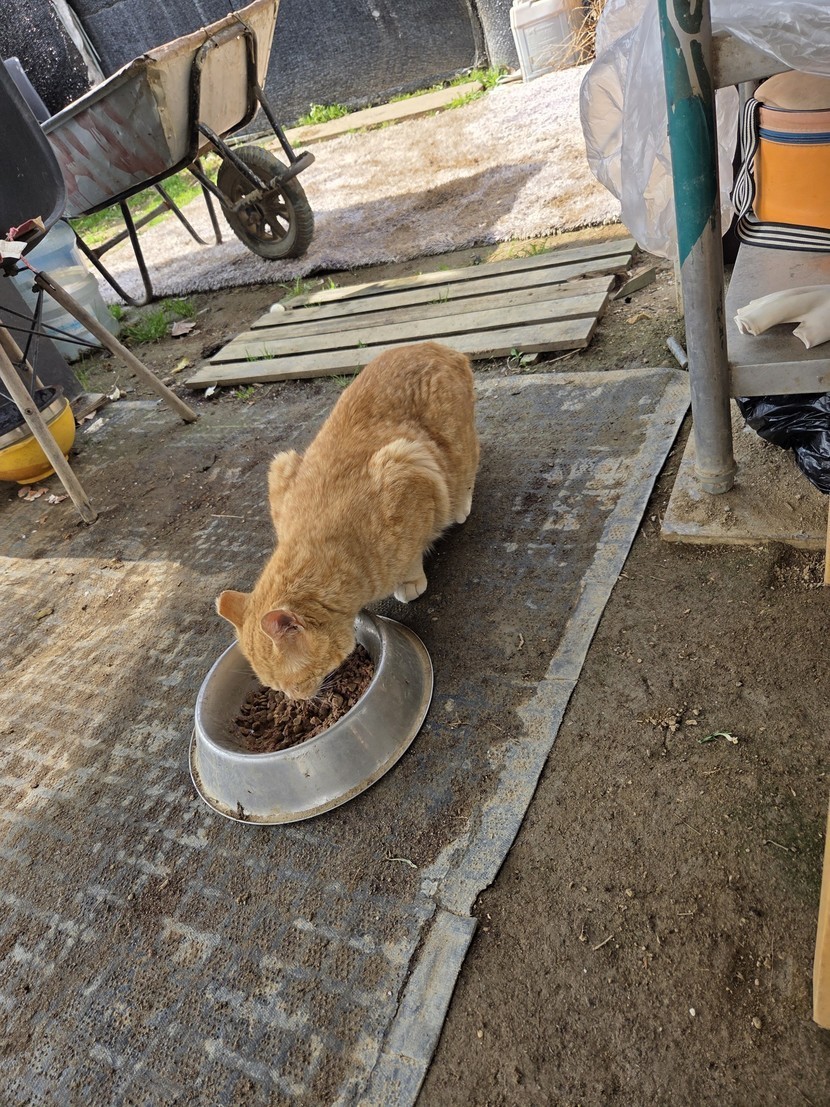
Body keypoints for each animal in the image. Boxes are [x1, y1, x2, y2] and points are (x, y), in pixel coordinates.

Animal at [216, 341, 480, 700]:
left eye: (296, 682)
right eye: (273, 687)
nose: (296, 699)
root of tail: (438, 345)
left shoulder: (408, 468)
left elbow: (412, 554)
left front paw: (409, 580)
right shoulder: (281, 469)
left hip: (452, 445)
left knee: (469, 466)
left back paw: (460, 505)